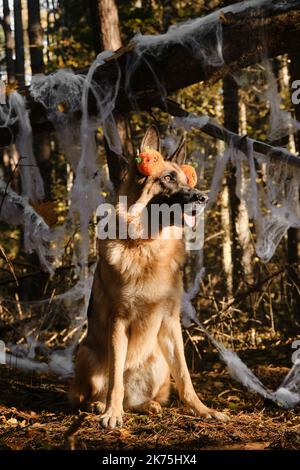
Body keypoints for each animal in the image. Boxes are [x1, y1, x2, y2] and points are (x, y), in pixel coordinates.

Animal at [69, 126, 227, 428]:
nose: (202, 198)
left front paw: (202, 410)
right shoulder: (118, 321)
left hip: (159, 362)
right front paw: (112, 412)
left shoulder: (171, 321)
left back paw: (148, 405)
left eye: (187, 179)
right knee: (93, 392)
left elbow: (185, 376)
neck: (147, 244)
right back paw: (100, 405)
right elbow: (115, 377)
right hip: (85, 353)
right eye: (167, 178)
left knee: (139, 399)